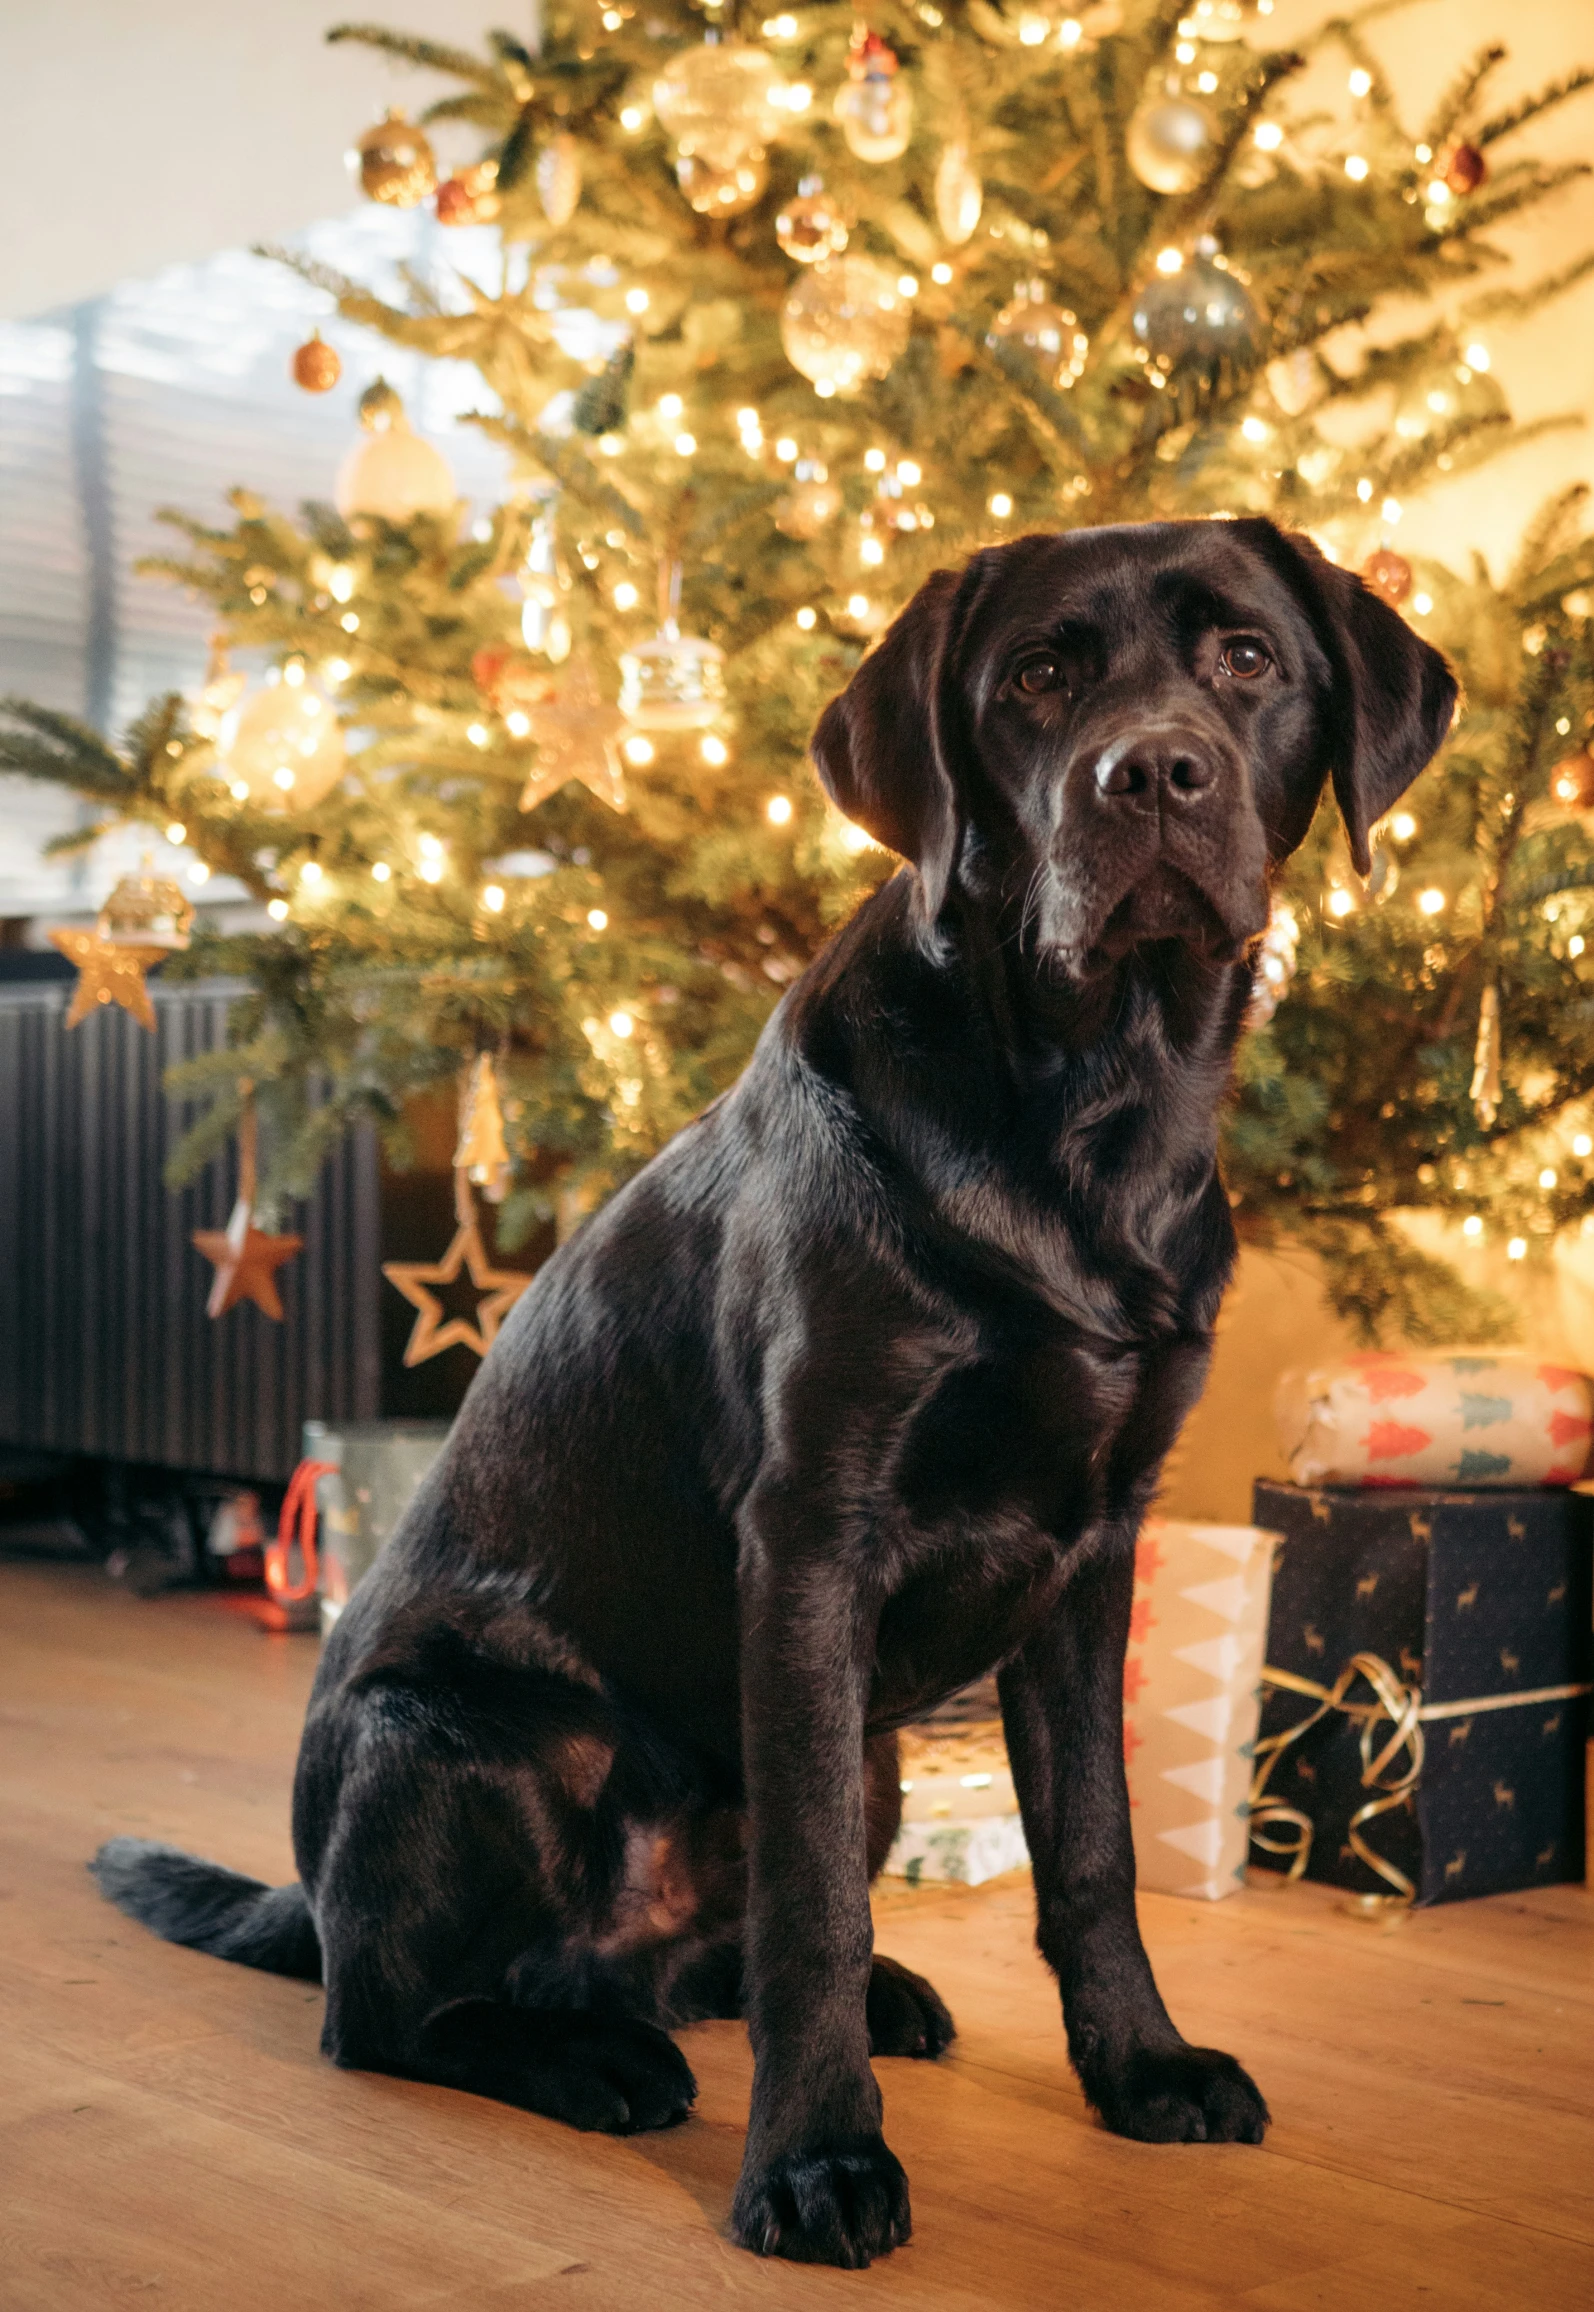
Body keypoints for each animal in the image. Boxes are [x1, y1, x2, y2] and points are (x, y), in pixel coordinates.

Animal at [93, 515, 1452, 2265]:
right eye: (1039, 675)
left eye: (1245, 660)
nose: (1150, 772)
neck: (1089, 1102)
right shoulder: (815, 1534)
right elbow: (812, 1902)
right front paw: (812, 2163)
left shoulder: (1096, 1549)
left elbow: (1091, 1851)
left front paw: (1140, 2069)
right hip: (472, 1738)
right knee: (390, 2015)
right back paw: (594, 2061)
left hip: (868, 1756)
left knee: (695, 1964)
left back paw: (838, 2000)